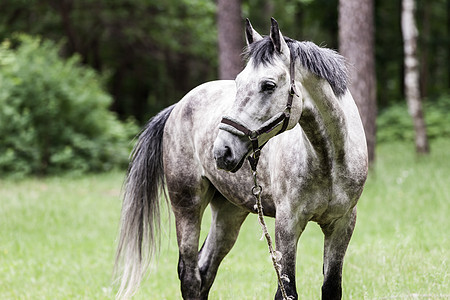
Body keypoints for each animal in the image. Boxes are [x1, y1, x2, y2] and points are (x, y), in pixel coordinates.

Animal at [114, 17, 368, 298]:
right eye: (238, 82)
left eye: (268, 85)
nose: (222, 151)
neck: (329, 160)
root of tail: (178, 106)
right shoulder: (288, 224)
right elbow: (286, 289)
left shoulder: (342, 225)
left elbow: (331, 287)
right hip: (187, 205)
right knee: (190, 275)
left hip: (229, 211)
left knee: (205, 269)